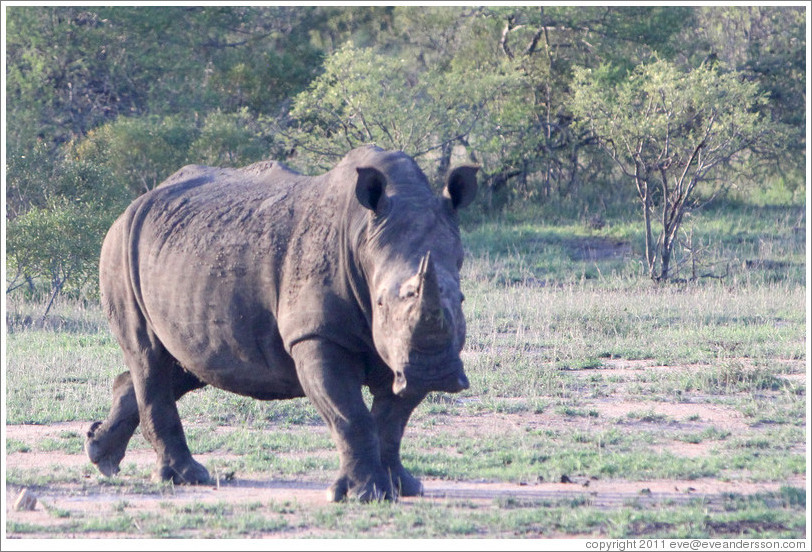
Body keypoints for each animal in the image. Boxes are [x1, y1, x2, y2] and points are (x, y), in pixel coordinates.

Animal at [85, 145, 478, 501]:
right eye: (381, 302)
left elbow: (391, 422)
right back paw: (185, 477)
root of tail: (134, 204)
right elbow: (351, 416)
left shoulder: (401, 356)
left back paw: (101, 454)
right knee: (149, 357)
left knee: (186, 363)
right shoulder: (316, 334)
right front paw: (364, 495)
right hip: (118, 249)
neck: (363, 237)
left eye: (460, 300)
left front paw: (403, 487)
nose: (434, 373)